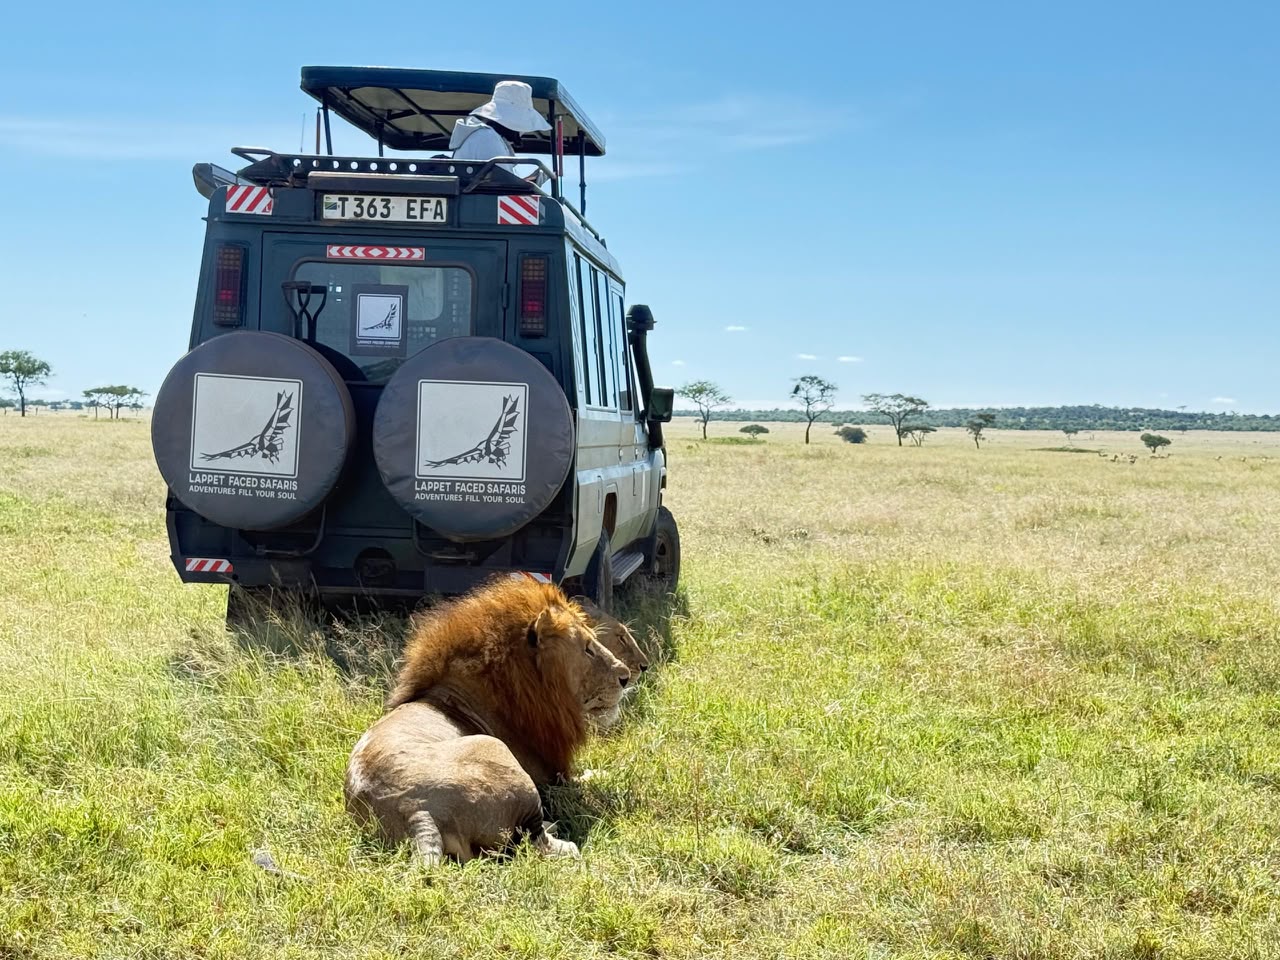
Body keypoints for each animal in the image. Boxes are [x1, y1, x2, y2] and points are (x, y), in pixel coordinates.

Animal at [344, 577, 630, 864]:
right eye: (588, 648)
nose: (626, 676)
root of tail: (415, 811)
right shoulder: (553, 780)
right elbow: (591, 779)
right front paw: (615, 772)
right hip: (500, 755)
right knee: (536, 842)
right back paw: (561, 837)